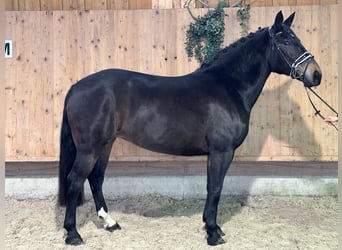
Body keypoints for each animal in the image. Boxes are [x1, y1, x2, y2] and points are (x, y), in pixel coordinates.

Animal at [58, 10, 320, 245]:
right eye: (286, 41)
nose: (316, 74)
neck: (229, 87)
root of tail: (76, 87)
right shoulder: (222, 151)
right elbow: (215, 188)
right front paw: (213, 233)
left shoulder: (216, 153)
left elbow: (211, 186)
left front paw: (212, 227)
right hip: (90, 149)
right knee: (75, 180)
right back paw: (73, 234)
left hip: (106, 144)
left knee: (95, 178)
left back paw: (110, 222)